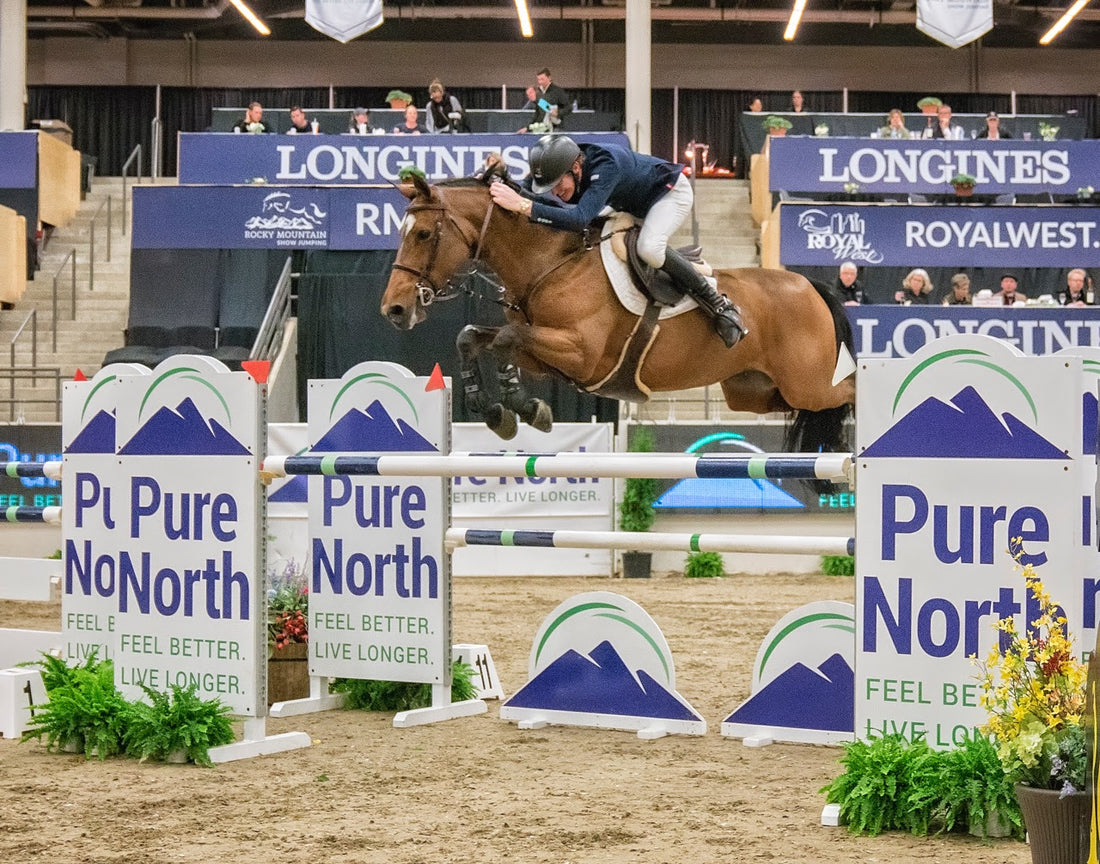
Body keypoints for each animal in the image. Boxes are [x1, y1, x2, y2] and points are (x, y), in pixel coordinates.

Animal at [380, 168, 858, 451]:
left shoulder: (583, 354)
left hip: (809, 384)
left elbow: (506, 338)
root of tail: (810, 285)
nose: (394, 309)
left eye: (423, 234)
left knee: (848, 392)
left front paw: (521, 407)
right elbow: (476, 337)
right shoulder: (550, 359)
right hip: (755, 392)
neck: (549, 265)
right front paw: (495, 409)